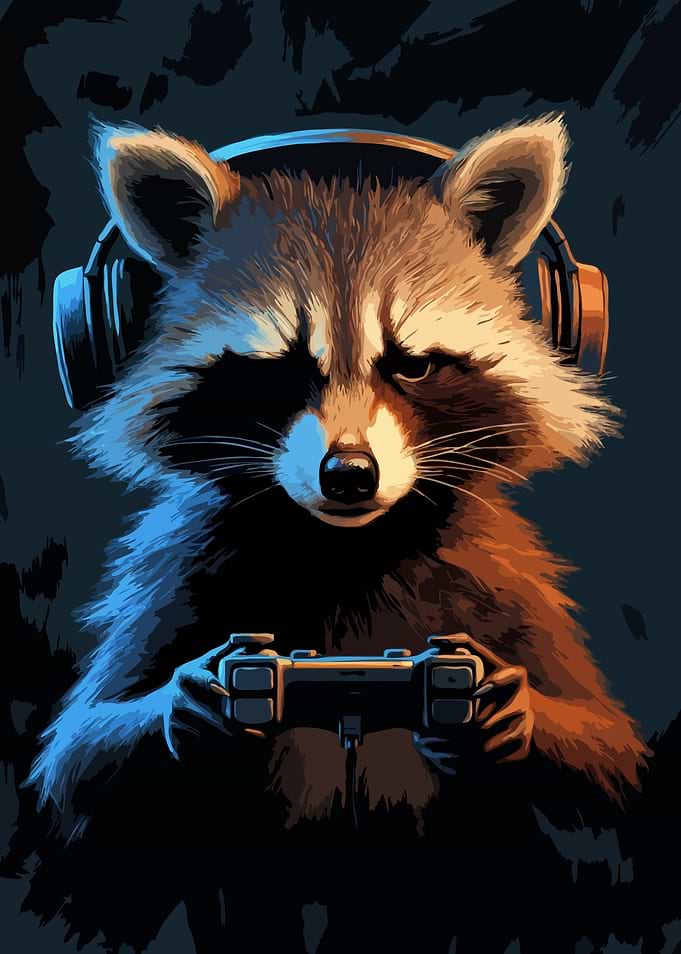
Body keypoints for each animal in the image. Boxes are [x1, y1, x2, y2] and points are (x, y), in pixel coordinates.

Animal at [29, 115, 648, 847]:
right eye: (284, 368)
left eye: (411, 365)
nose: (349, 475)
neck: (346, 546)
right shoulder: (175, 572)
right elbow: (78, 756)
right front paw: (190, 702)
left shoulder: (503, 577)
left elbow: (606, 752)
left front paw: (507, 710)